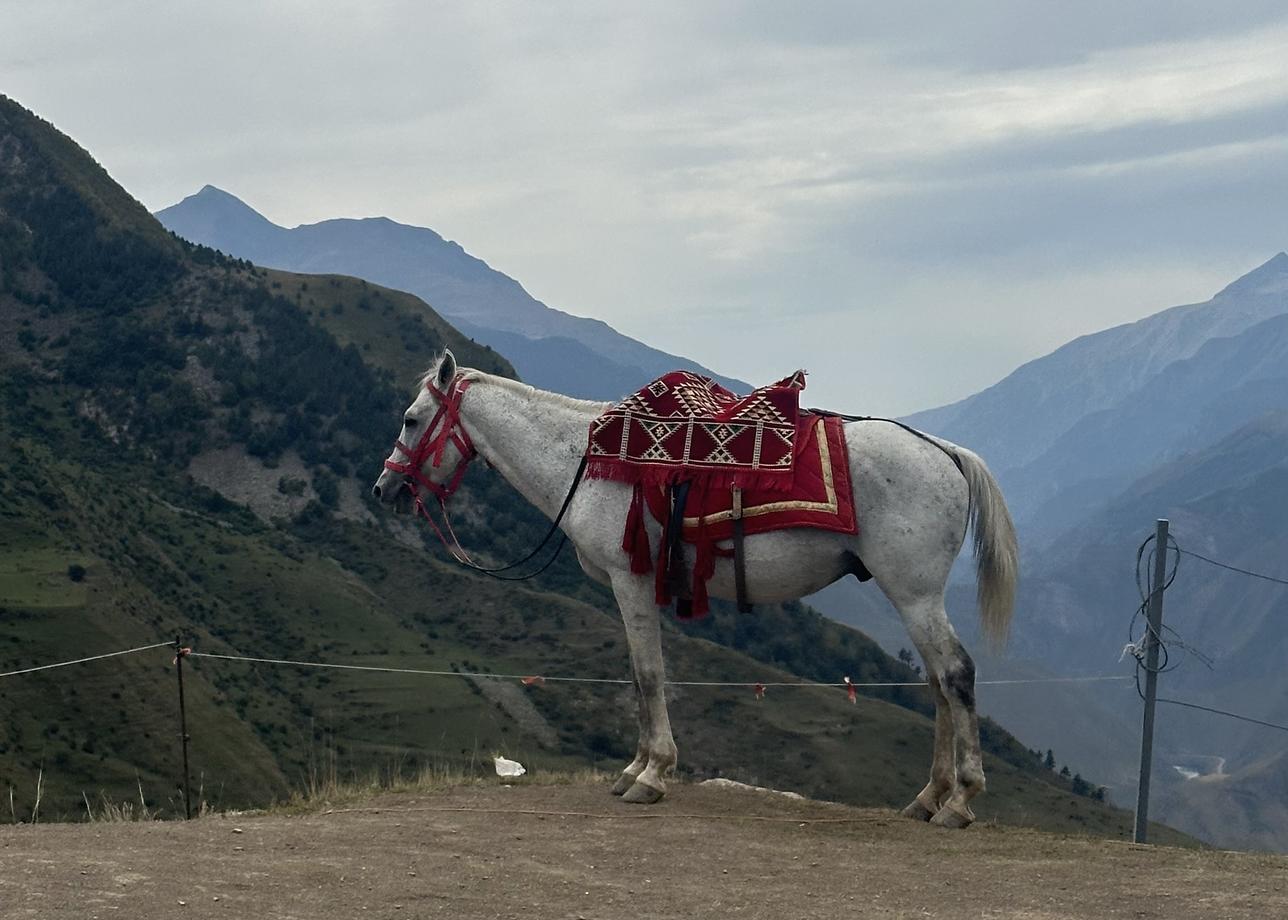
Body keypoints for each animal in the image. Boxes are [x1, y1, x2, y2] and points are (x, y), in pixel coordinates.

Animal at [370, 350, 1014, 824]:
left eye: (409, 419)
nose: (384, 489)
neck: (587, 459)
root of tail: (946, 452)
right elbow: (637, 678)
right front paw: (634, 769)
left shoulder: (631, 580)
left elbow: (649, 674)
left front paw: (652, 774)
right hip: (909, 595)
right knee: (937, 683)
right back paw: (928, 797)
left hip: (915, 593)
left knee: (955, 674)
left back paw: (959, 799)